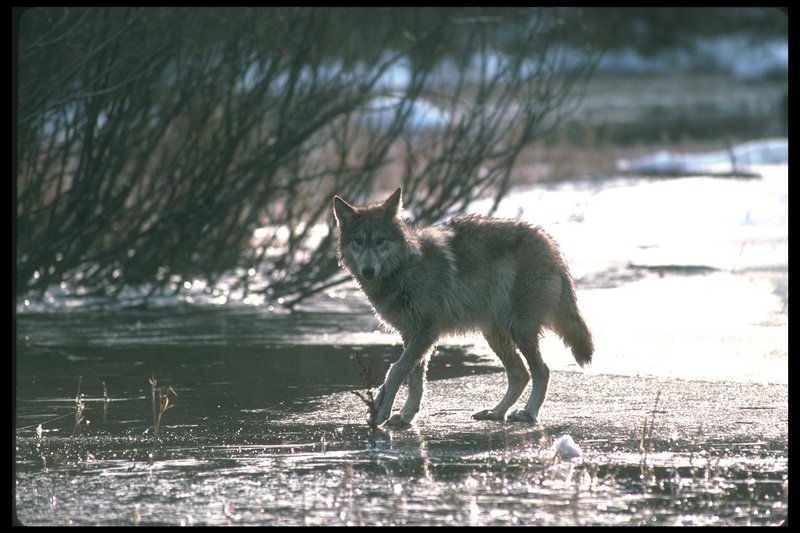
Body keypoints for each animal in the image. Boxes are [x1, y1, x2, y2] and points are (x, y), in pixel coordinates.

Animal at [332, 189, 592, 426]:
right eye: (358, 242)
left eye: (379, 241)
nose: (368, 271)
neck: (406, 268)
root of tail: (550, 243)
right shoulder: (411, 334)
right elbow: (414, 380)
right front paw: (405, 416)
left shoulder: (427, 332)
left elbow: (396, 370)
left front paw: (383, 410)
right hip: (495, 334)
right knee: (520, 374)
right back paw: (496, 412)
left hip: (519, 330)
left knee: (542, 371)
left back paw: (528, 413)